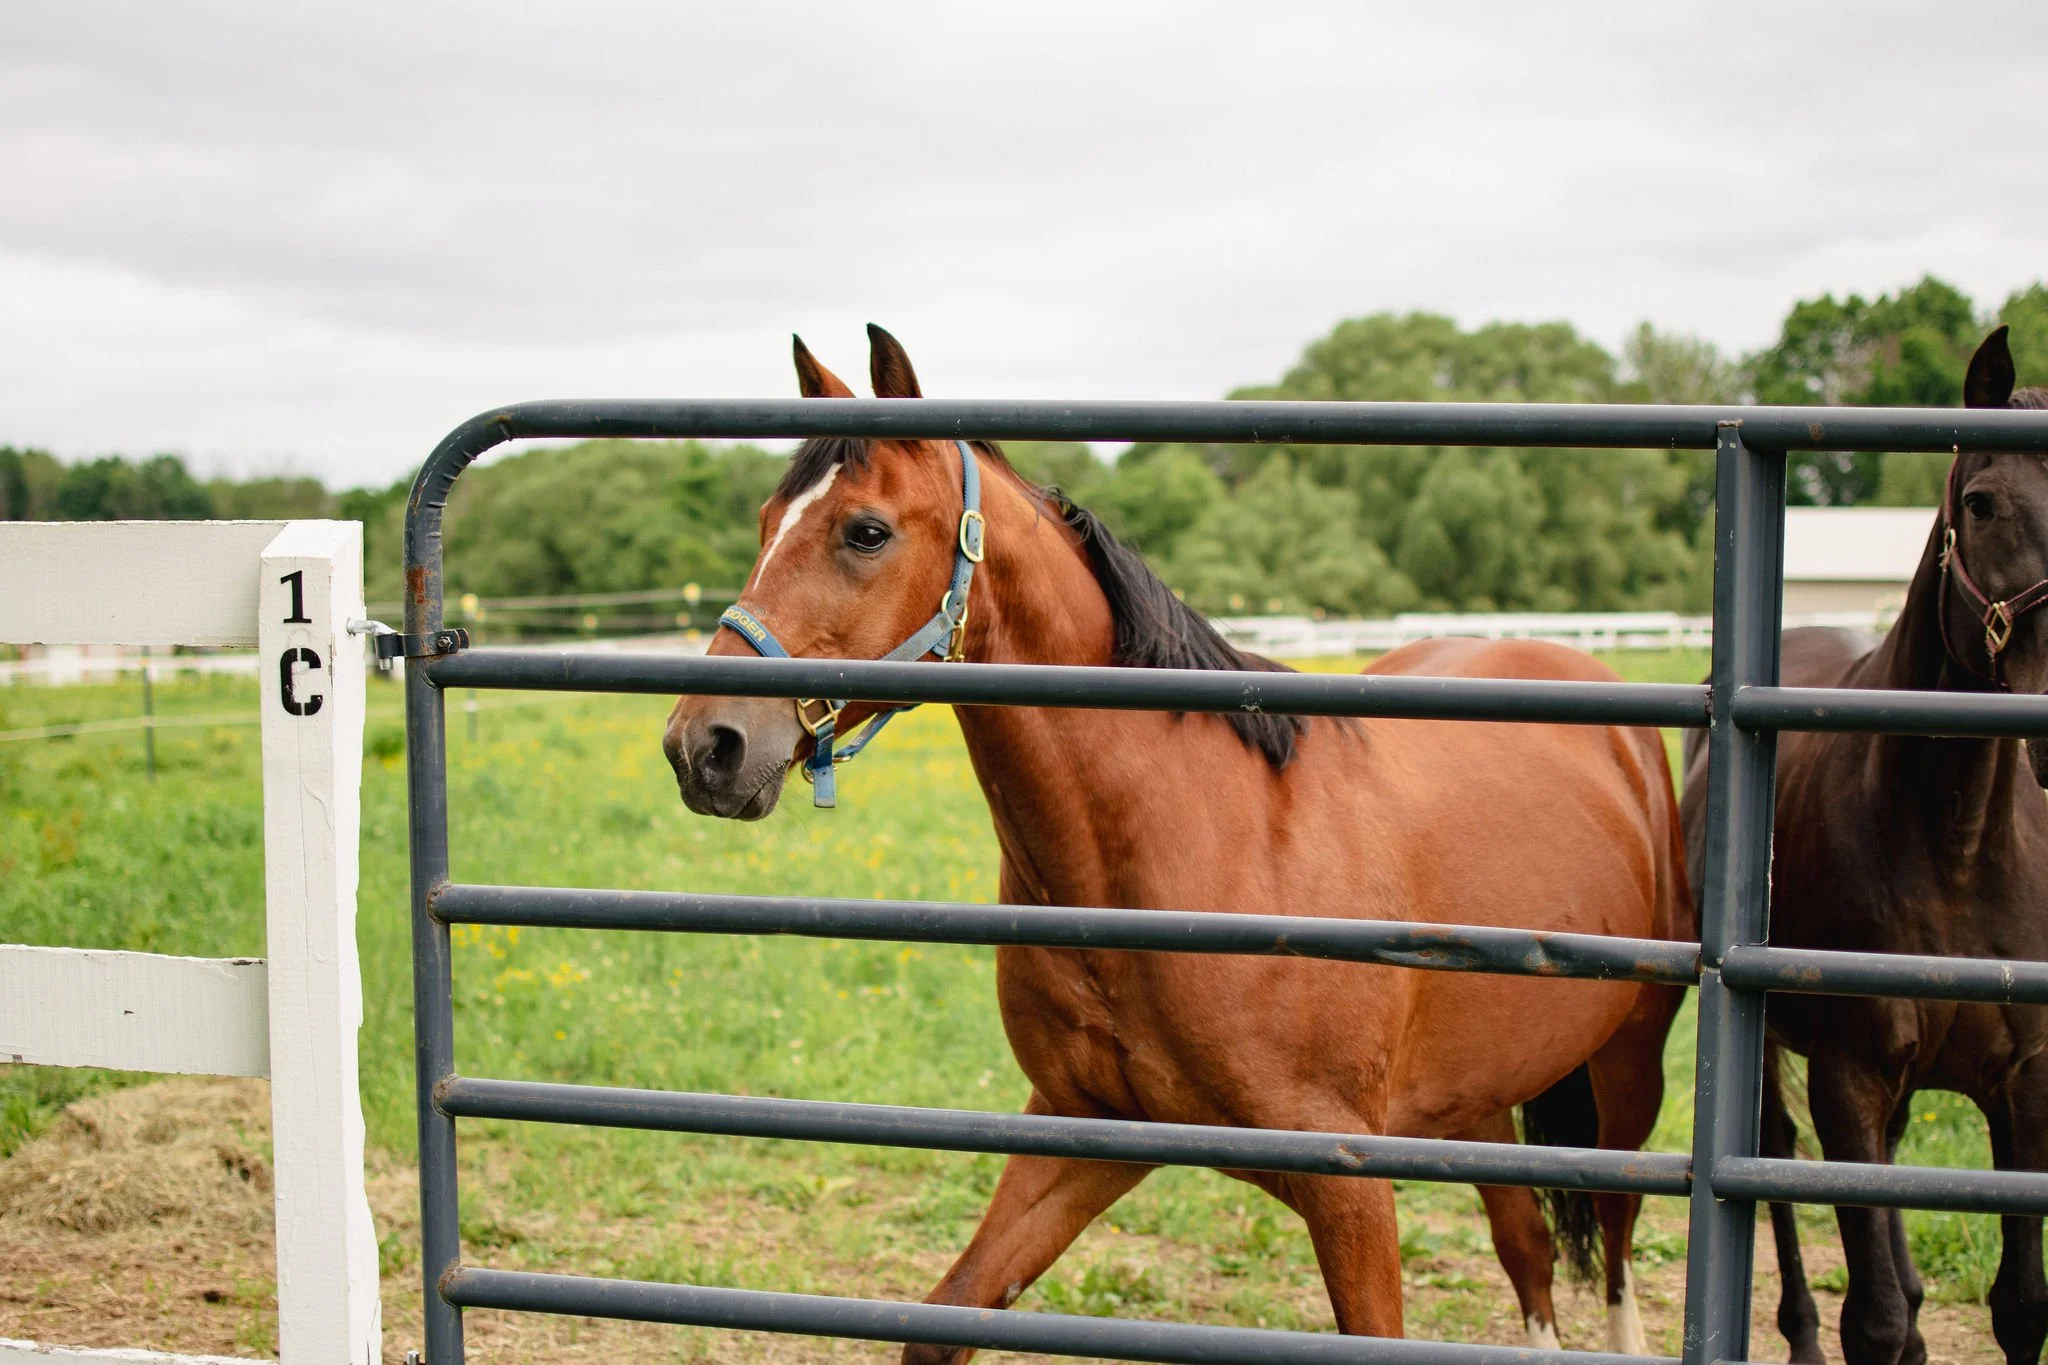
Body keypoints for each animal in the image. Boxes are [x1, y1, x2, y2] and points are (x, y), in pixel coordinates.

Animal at [663, 325, 1694, 1353]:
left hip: (1627, 1070)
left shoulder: (1349, 1189)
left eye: (865, 531)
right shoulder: (1085, 1130)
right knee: (1526, 1247)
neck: (1194, 841)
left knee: (1612, 1236)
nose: (702, 744)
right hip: (1474, 1103)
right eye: (766, 520)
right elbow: (945, 1318)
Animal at [1680, 327, 2048, 1365]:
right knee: (1779, 1159)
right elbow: (1875, 1319)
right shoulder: (1849, 1075)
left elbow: (2022, 1305)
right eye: (1981, 502)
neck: (1956, 844)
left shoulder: (2026, 1082)